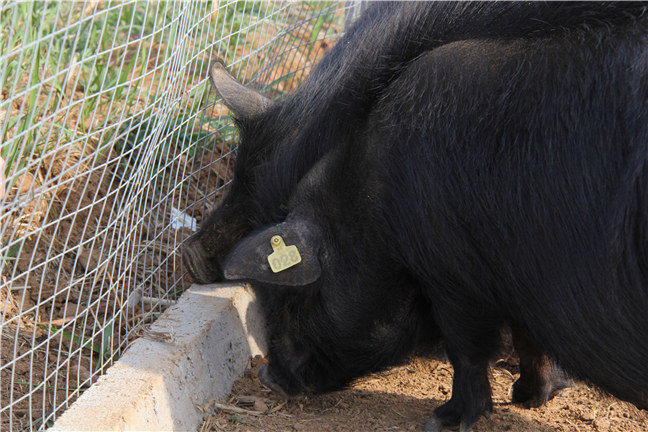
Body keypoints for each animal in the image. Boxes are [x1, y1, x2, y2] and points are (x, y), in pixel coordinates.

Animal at [184, 3, 648, 432]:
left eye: (296, 296)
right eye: (238, 174)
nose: (268, 377)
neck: (373, 190)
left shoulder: (453, 272)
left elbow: (468, 348)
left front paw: (443, 420)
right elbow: (528, 340)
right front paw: (527, 398)